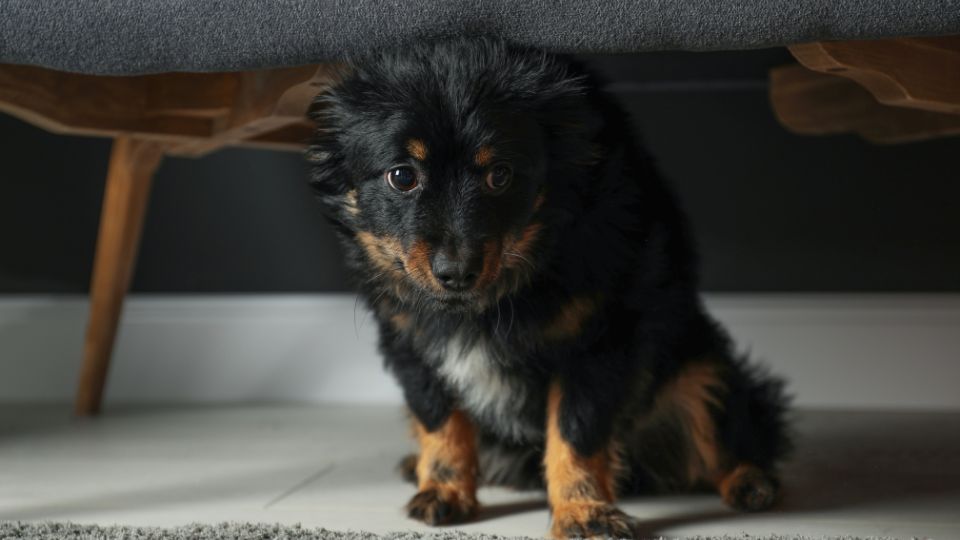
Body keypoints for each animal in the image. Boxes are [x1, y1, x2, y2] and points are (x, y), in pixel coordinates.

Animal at [306, 39, 788, 540]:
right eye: (402, 176)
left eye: (500, 174)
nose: (456, 272)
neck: (493, 298)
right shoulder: (410, 344)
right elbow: (440, 420)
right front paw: (444, 490)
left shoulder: (600, 342)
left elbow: (575, 432)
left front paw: (583, 511)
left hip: (702, 368)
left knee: (731, 437)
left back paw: (751, 482)